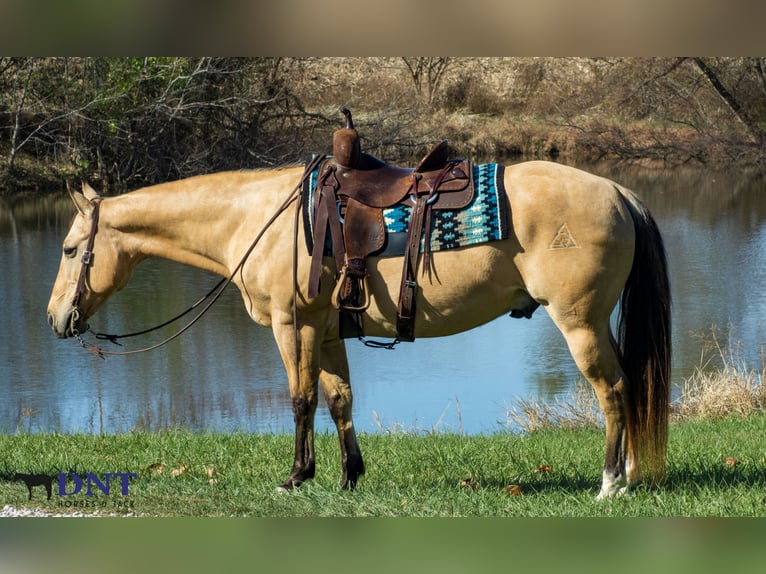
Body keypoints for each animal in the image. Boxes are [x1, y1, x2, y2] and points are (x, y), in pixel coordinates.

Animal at [46, 159, 671, 499]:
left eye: (71, 248)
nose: (55, 319)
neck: (258, 220)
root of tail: (618, 192)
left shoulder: (291, 324)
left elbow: (300, 400)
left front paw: (296, 477)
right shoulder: (325, 332)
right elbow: (339, 398)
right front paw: (349, 476)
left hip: (579, 323)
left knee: (612, 391)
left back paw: (610, 482)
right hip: (595, 324)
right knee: (630, 387)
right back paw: (632, 474)